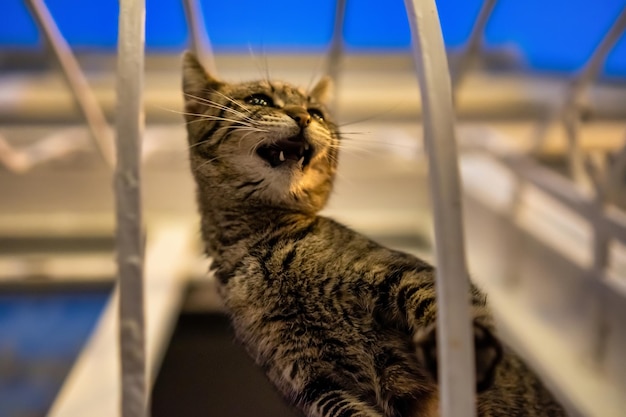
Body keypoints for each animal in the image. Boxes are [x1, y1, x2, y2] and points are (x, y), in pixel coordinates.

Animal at [180, 52, 564, 416]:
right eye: (259, 100)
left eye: (317, 113)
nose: (302, 117)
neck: (263, 244)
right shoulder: (313, 383)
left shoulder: (403, 273)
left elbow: (443, 307)